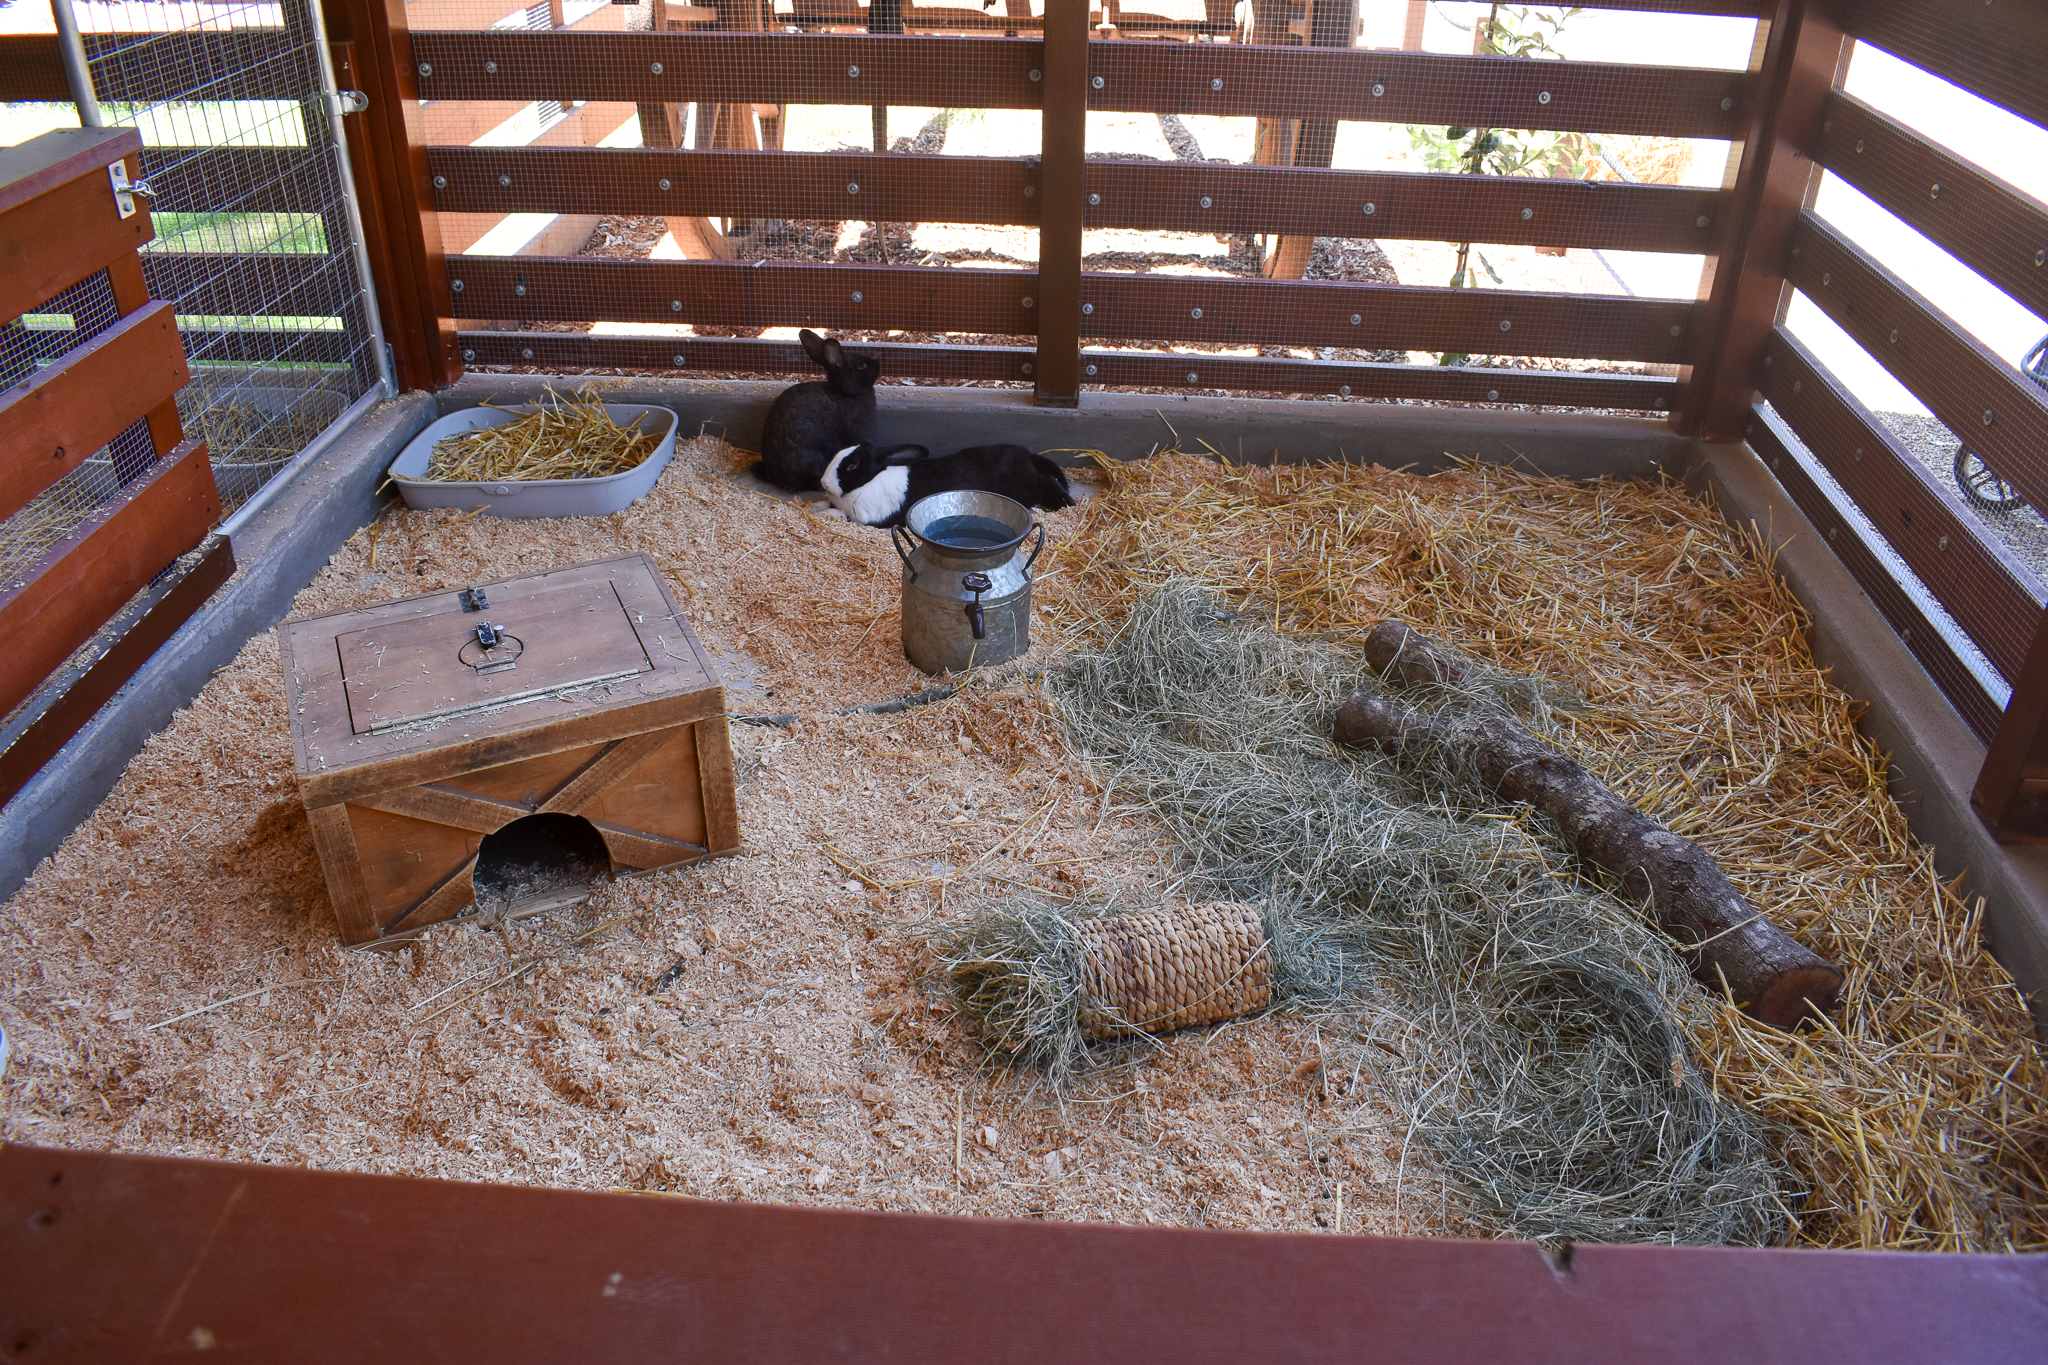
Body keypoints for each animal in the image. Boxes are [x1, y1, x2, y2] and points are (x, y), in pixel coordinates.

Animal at [821, 442, 1073, 527]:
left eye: (852, 466)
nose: (824, 483)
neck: (869, 481)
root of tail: (1027, 455)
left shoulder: (866, 517)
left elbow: (842, 515)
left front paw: (827, 513)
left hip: (1027, 486)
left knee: (1048, 482)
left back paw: (1068, 504)